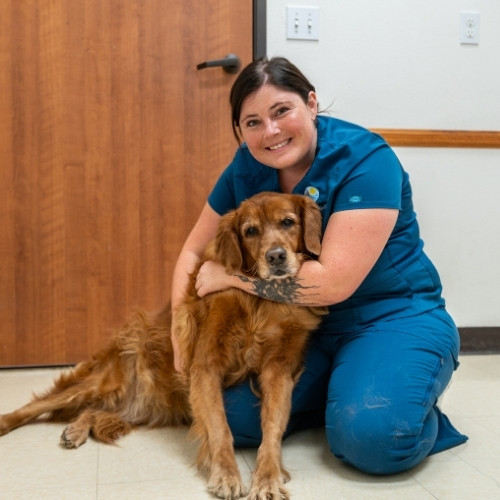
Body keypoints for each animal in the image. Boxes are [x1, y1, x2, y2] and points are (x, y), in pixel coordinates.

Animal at [0, 191, 326, 500]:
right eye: (251, 231)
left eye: (288, 222)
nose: (276, 256)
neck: (259, 301)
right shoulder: (204, 367)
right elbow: (220, 428)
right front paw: (227, 475)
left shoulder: (278, 371)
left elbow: (272, 429)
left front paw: (268, 478)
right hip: (102, 382)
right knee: (39, 405)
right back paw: (9, 422)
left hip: (142, 404)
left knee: (94, 410)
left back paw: (76, 428)